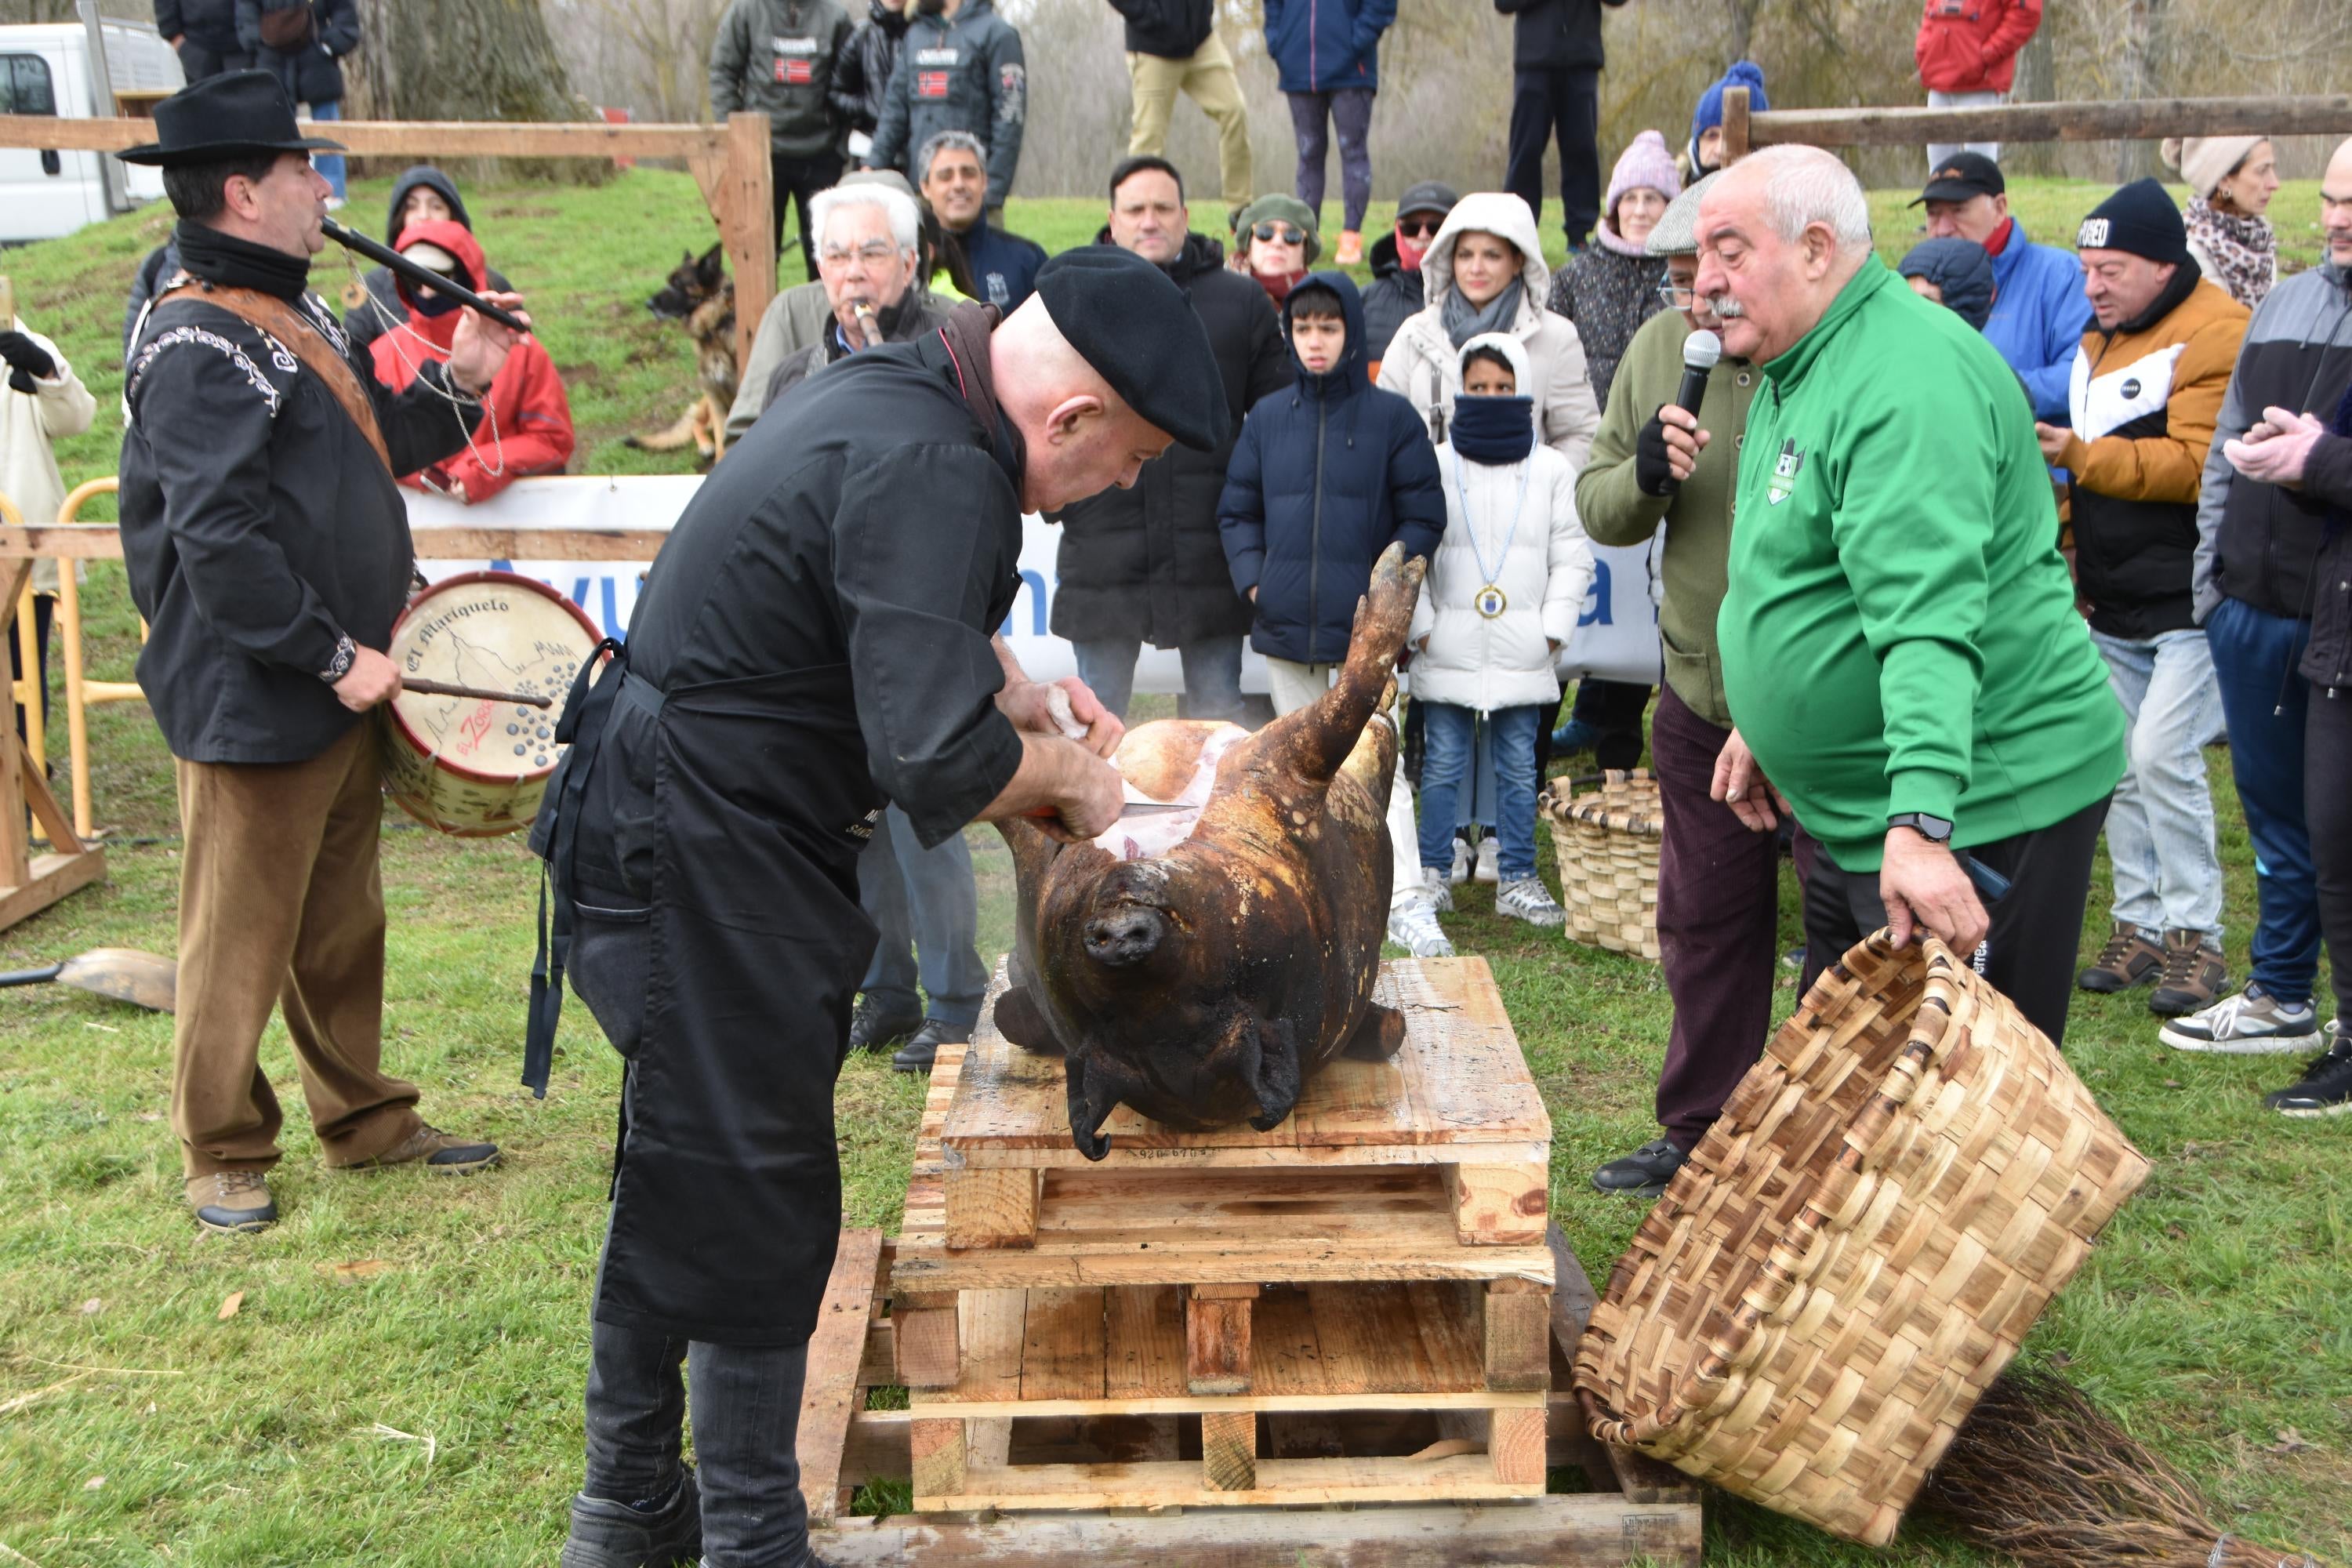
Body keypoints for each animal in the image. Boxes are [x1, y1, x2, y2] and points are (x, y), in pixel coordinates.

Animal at [630, 245, 739, 465]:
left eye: (678, 284)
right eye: (668, 280)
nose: (648, 304)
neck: (714, 328)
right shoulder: (715, 397)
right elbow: (721, 440)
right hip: (708, 403)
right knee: (697, 424)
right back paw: (706, 445)